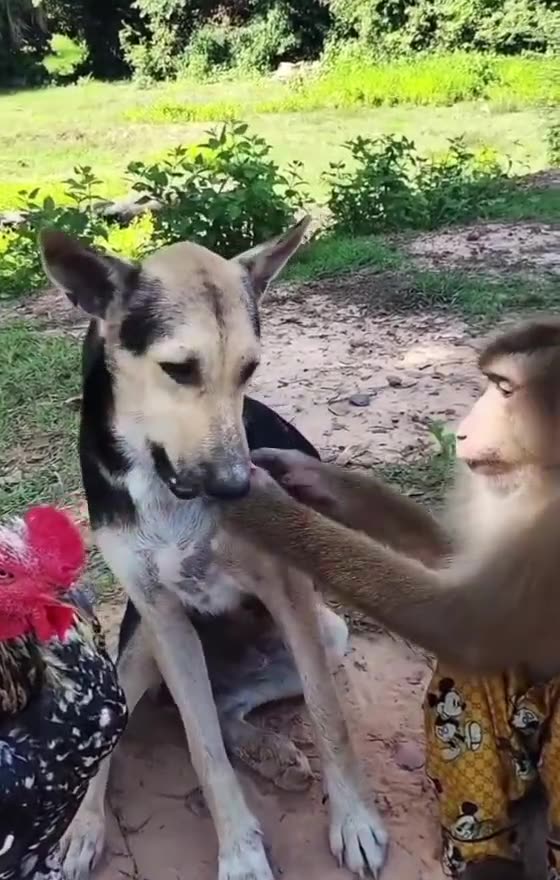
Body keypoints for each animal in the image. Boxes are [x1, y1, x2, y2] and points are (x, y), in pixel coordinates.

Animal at [220, 317, 560, 880]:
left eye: (505, 390)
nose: (463, 430)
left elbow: (463, 625)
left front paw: (259, 502)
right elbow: (452, 568)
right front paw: (305, 475)